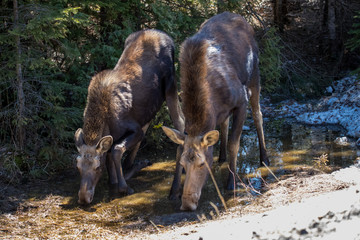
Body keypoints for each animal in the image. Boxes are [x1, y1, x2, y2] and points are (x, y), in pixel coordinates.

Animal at [75, 28, 184, 204]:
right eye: (78, 166)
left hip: (171, 86)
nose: (84, 198)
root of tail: (164, 34)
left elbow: (116, 150)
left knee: (182, 125)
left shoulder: (134, 129)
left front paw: (124, 187)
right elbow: (111, 162)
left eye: (97, 167)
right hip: (149, 106)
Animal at [162, 11, 268, 210]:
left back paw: (265, 158)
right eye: (183, 165)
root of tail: (240, 17)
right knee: (224, 123)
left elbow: (235, 143)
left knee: (258, 114)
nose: (187, 204)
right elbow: (180, 147)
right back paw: (222, 157)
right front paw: (173, 191)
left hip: (255, 75)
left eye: (202, 164)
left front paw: (231, 183)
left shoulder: (241, 100)